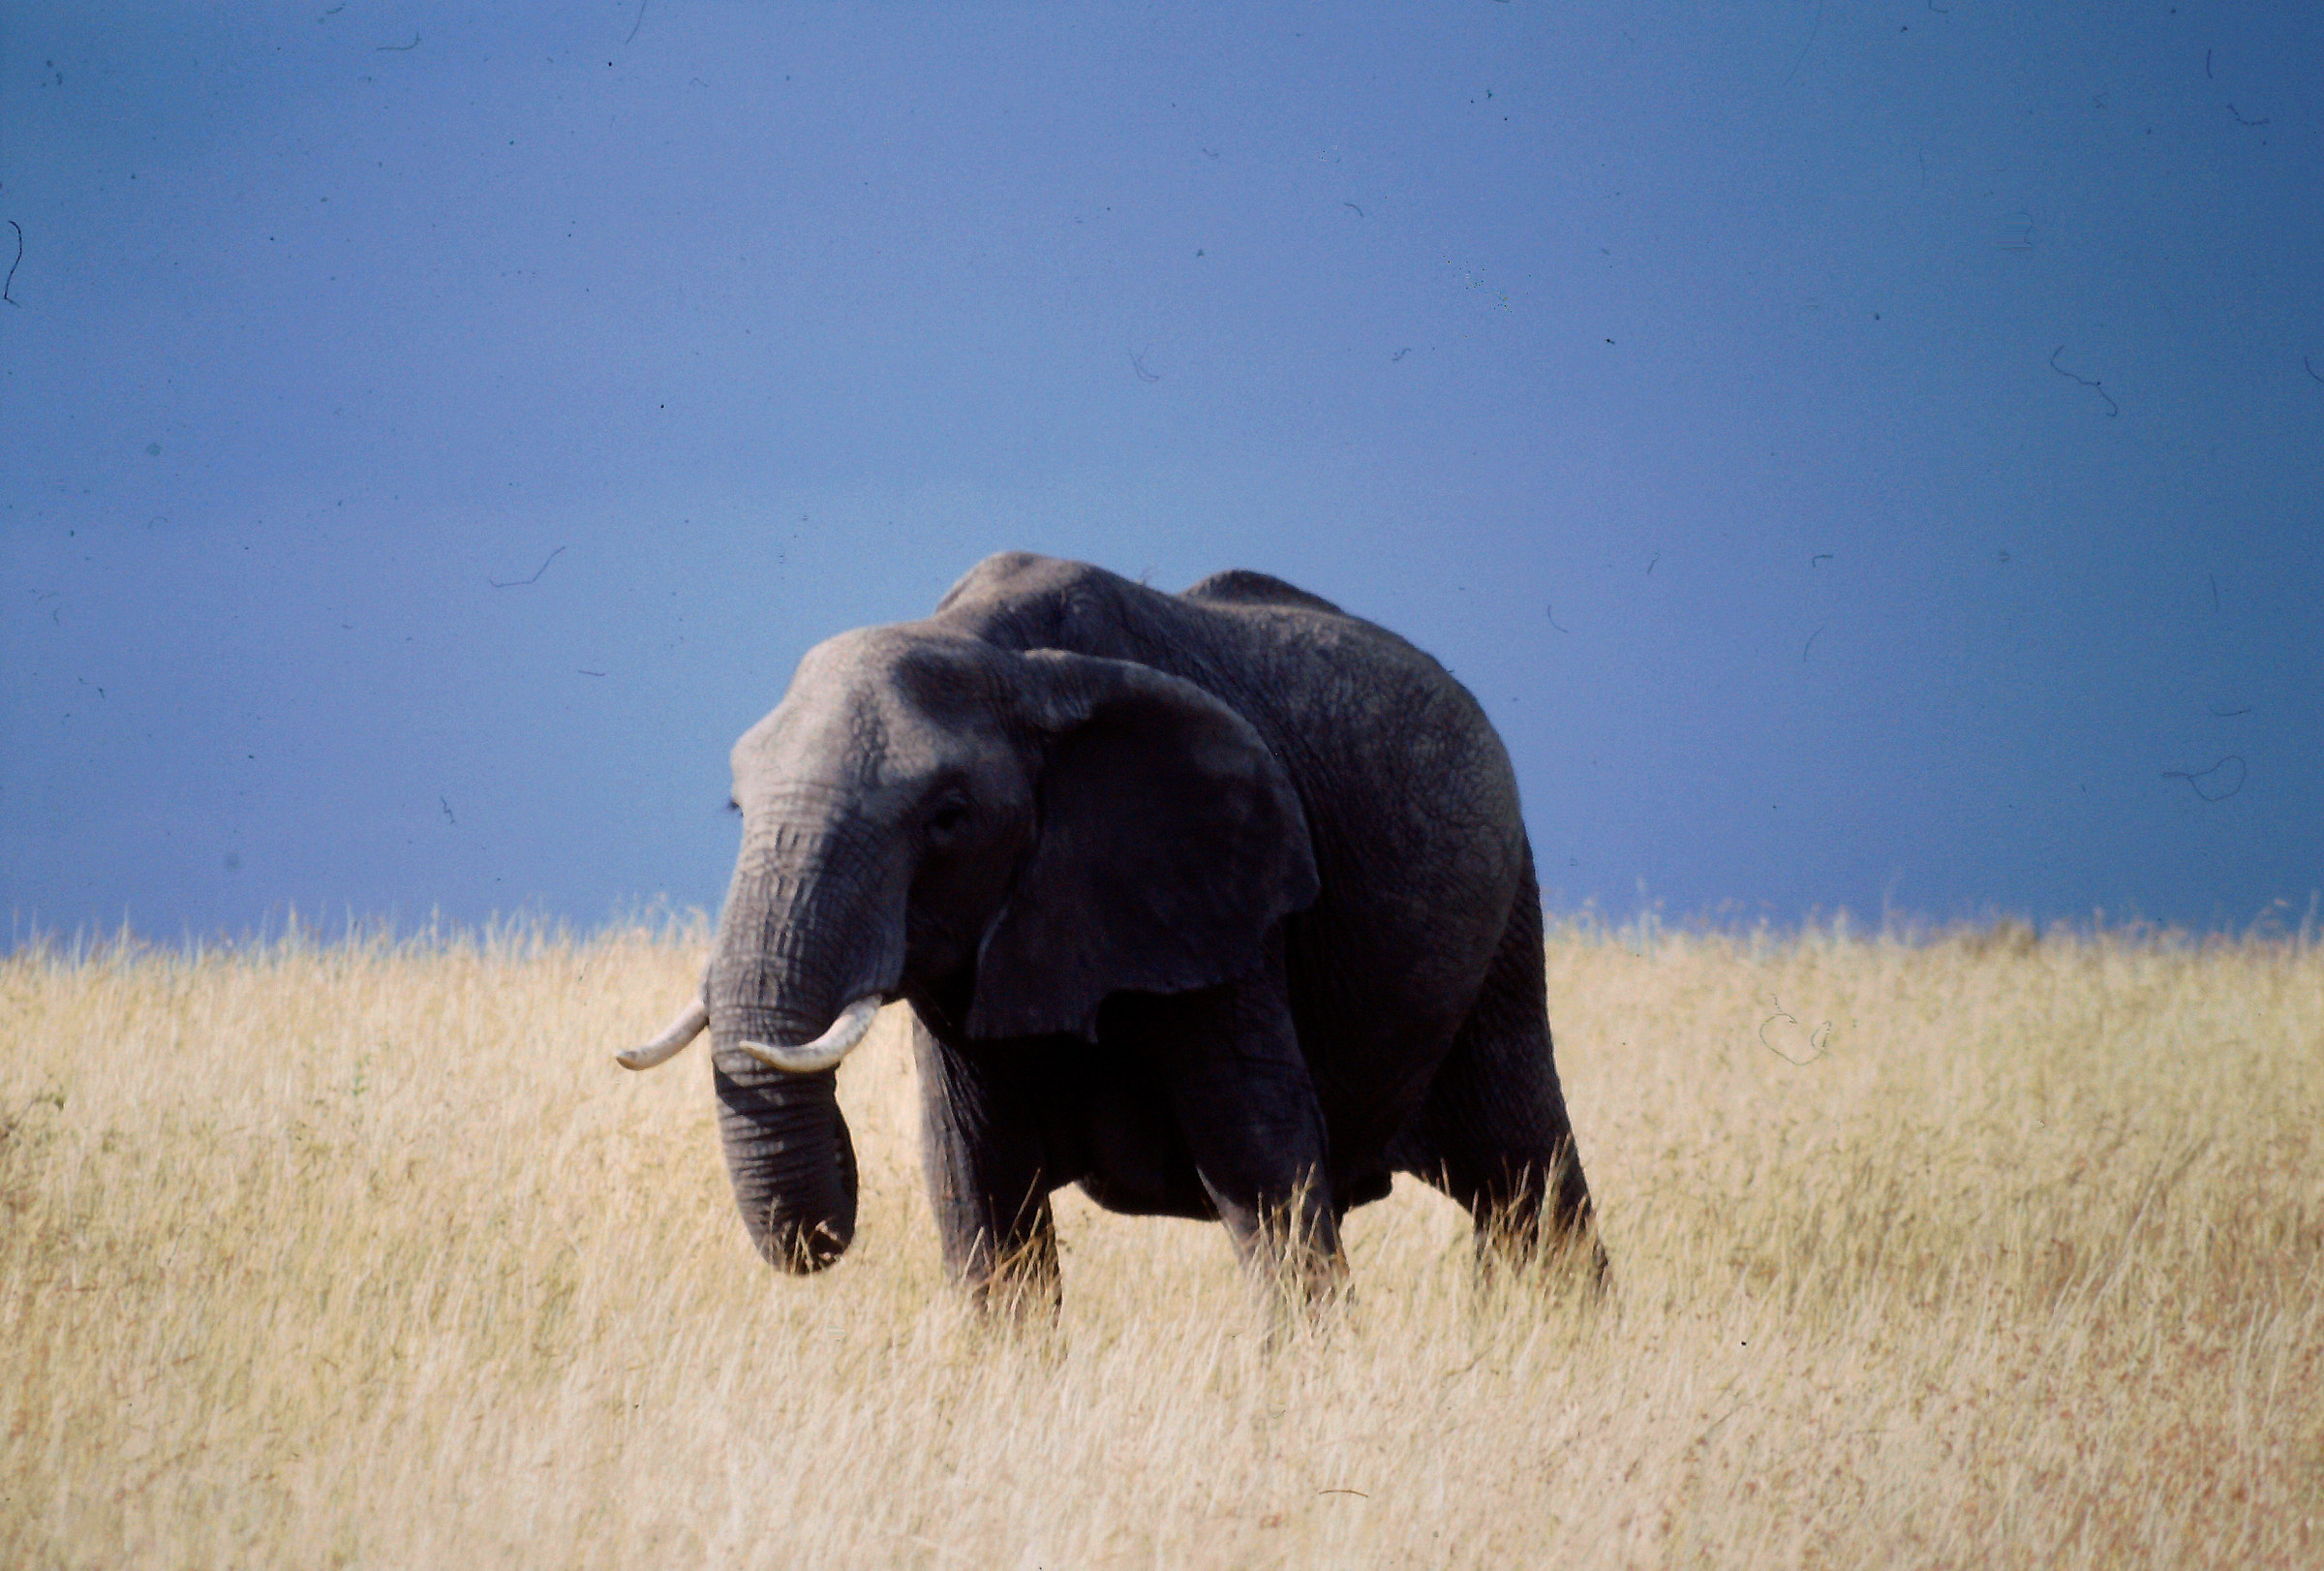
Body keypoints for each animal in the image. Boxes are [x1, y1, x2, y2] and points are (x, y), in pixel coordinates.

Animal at [621, 552, 1602, 1310]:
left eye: (946, 818)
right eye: (737, 808)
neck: (1001, 655)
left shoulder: (1222, 901)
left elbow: (1263, 1165)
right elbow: (976, 1188)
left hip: (1505, 921)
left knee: (1528, 1175)